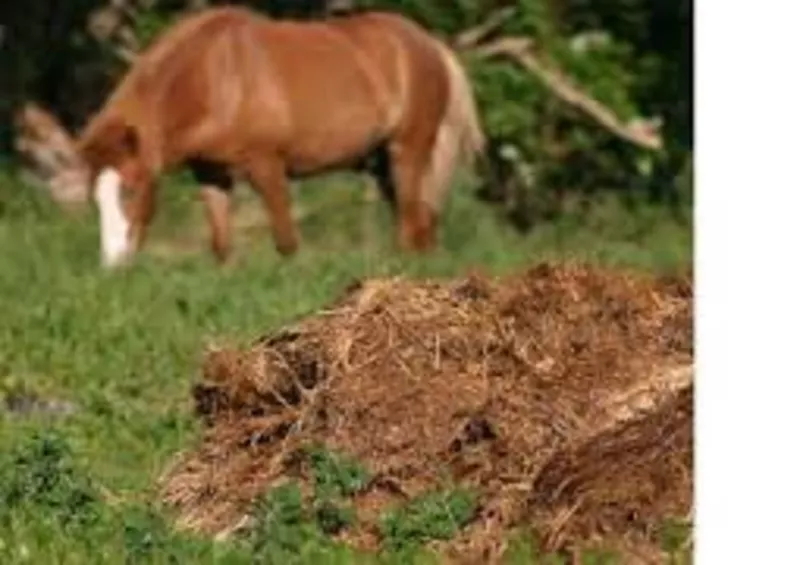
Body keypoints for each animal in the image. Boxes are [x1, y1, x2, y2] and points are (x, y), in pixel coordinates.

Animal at [78, 5, 484, 268]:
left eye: (130, 189)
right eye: (94, 197)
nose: (114, 263)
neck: (216, 77)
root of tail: (428, 43)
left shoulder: (267, 166)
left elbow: (287, 243)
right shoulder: (211, 174)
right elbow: (222, 246)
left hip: (408, 152)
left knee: (410, 227)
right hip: (384, 164)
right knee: (422, 226)